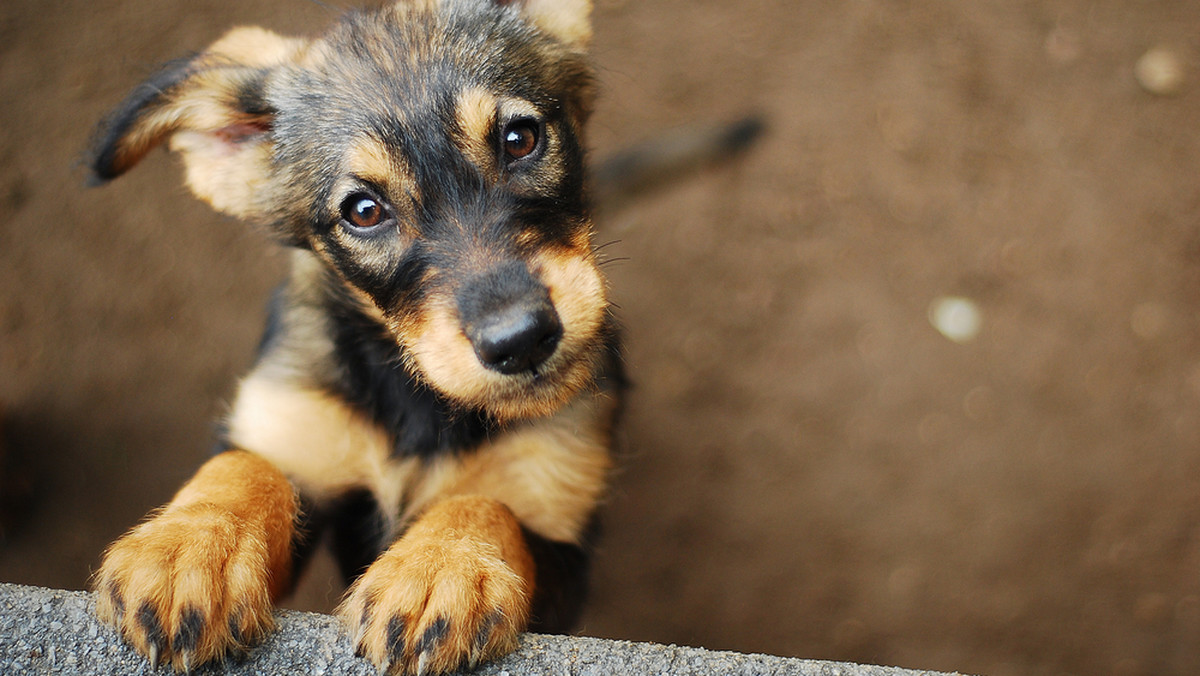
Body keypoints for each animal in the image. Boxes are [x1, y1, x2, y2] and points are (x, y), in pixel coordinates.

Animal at [88, 2, 624, 672]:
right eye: (363, 211)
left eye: (519, 139)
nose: (521, 339)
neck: (418, 403)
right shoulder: (296, 423)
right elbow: (245, 463)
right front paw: (189, 546)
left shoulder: (562, 541)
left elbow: (484, 502)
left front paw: (439, 567)